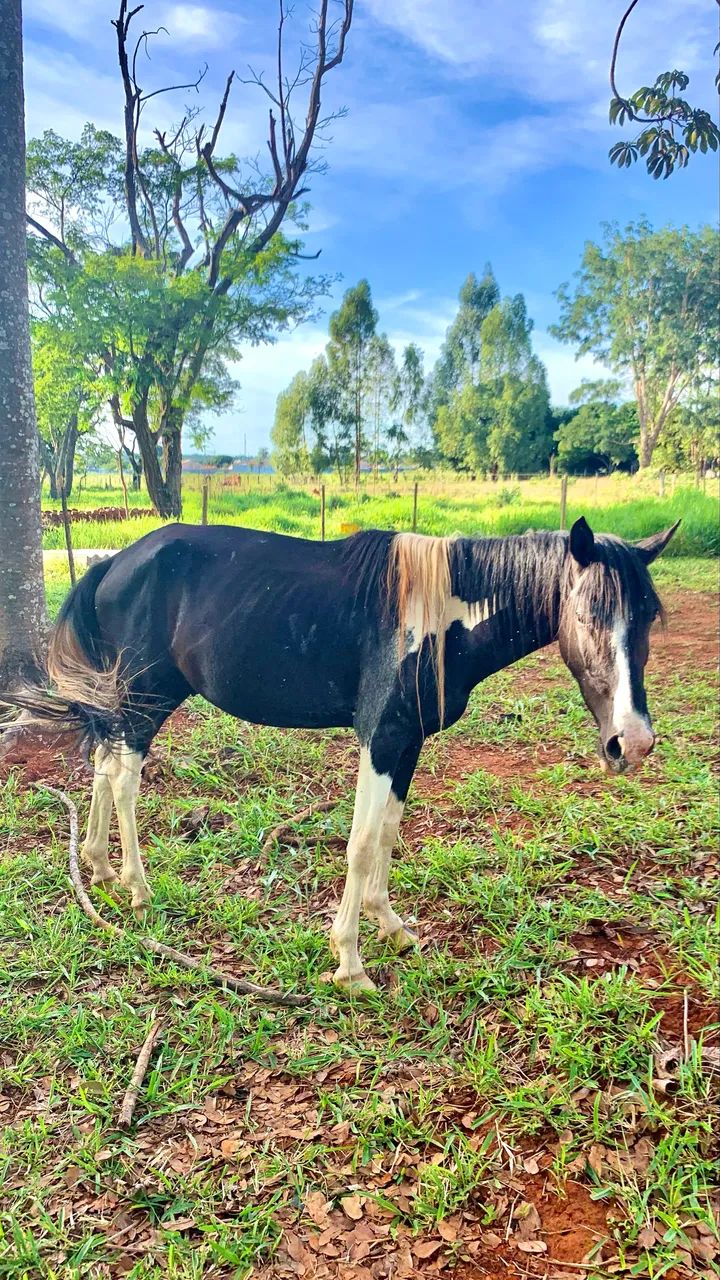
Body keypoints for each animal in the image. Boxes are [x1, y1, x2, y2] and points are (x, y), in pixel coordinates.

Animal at [9, 515, 678, 992]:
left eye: (648, 616)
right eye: (587, 613)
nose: (633, 742)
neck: (439, 615)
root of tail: (115, 562)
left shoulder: (407, 742)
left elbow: (386, 836)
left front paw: (393, 928)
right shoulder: (379, 739)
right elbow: (358, 844)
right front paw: (350, 965)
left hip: (124, 700)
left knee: (102, 767)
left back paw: (98, 866)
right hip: (146, 699)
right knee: (123, 781)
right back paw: (137, 888)